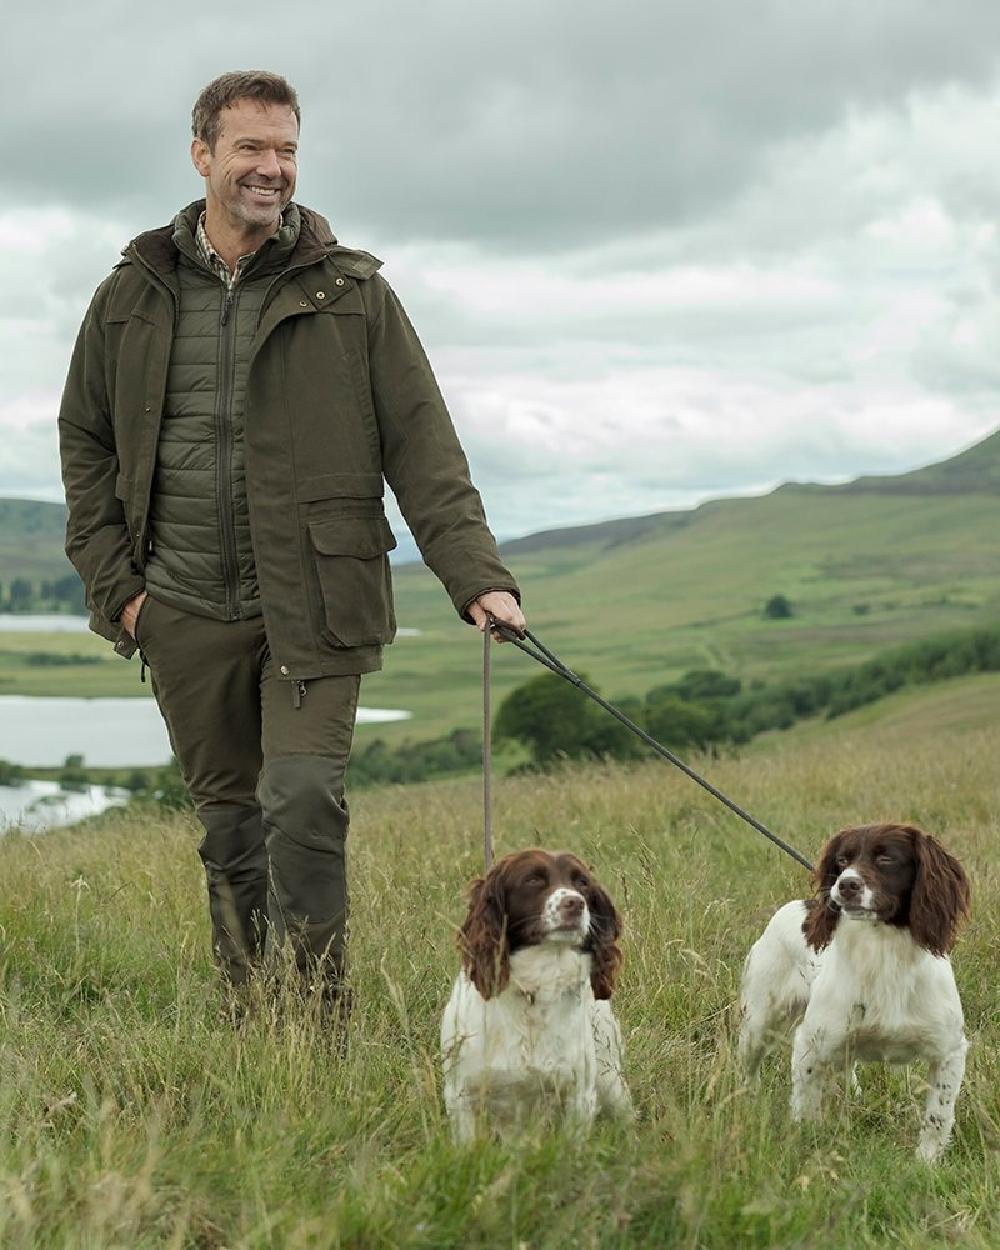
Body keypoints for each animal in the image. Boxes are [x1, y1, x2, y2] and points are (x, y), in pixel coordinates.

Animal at [440, 850, 632, 1145]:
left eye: (582, 882)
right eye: (533, 880)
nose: (575, 903)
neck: (537, 989)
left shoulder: (579, 1094)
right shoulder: (461, 1094)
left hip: (610, 1079)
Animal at [740, 820, 970, 1160]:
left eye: (886, 858)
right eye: (842, 860)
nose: (846, 885)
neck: (883, 954)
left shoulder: (949, 1051)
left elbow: (937, 1118)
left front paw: (926, 1163)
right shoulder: (809, 1044)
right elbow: (806, 1111)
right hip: (758, 1023)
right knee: (748, 1070)